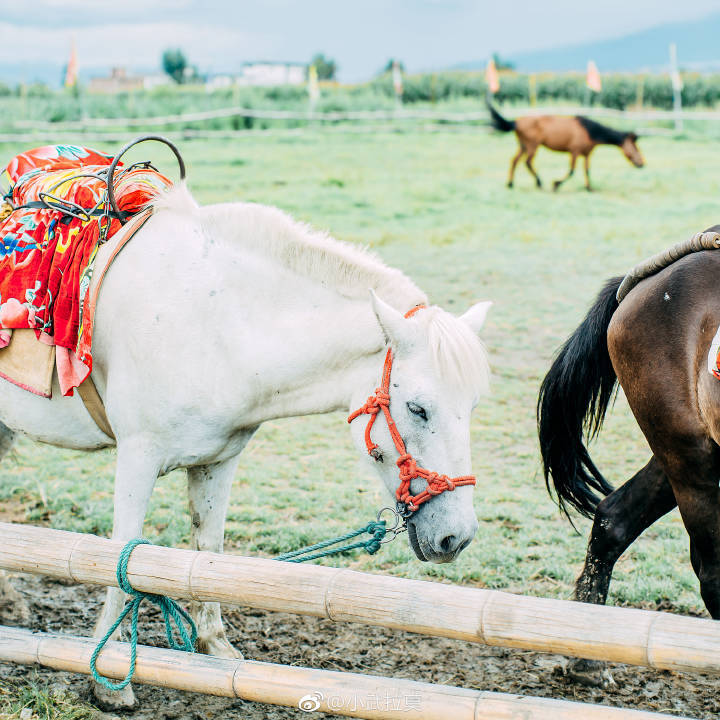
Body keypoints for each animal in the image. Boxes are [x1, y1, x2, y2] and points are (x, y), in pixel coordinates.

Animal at [0, 186, 490, 708]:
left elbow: (208, 553)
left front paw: (214, 647)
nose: (456, 536)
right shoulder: (138, 457)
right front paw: (107, 676)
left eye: (473, 405)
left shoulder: (218, 461)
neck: (216, 324)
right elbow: (120, 556)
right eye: (417, 408)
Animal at [486, 101, 644, 193]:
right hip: (532, 146)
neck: (589, 131)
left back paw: (510, 184)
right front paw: (556, 184)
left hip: (523, 146)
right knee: (528, 162)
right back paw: (539, 182)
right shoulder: (574, 152)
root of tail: (516, 122)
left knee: (514, 161)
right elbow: (572, 171)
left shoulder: (586, 154)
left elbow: (587, 171)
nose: (642, 163)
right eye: (635, 148)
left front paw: (589, 188)